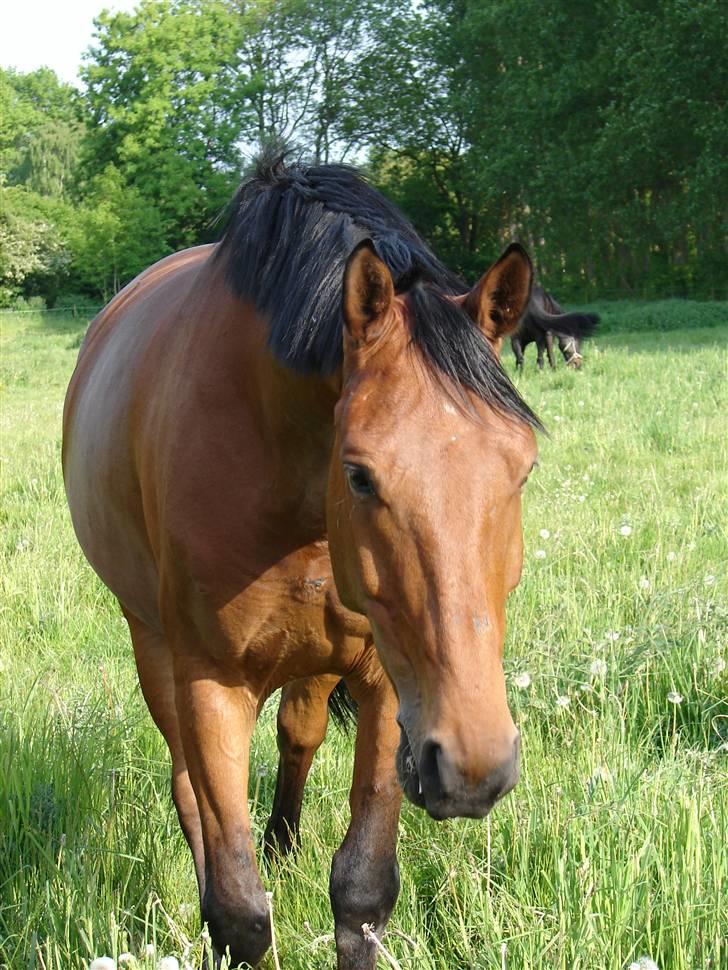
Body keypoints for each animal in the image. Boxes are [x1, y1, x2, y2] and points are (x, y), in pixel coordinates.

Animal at [61, 155, 540, 964]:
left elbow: (362, 890)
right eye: (360, 474)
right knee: (187, 785)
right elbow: (239, 910)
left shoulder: (386, 680)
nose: (473, 763)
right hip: (151, 644)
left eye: (524, 468)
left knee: (299, 733)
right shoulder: (209, 683)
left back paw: (283, 841)